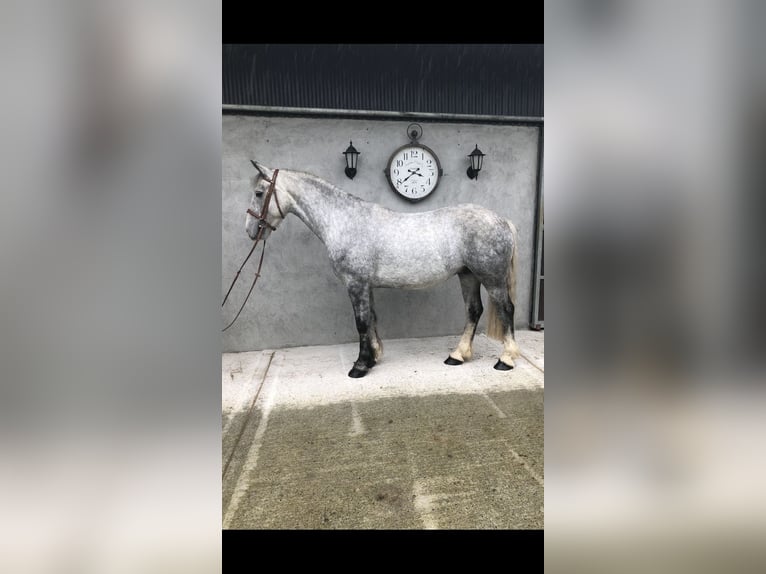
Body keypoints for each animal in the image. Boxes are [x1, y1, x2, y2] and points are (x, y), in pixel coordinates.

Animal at [246, 160, 520, 380]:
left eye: (259, 193)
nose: (250, 230)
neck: (344, 220)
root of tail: (503, 221)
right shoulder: (366, 286)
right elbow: (371, 319)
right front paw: (373, 358)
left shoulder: (355, 284)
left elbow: (361, 322)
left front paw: (359, 366)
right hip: (468, 275)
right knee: (473, 311)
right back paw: (457, 355)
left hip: (492, 278)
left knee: (506, 309)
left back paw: (505, 360)